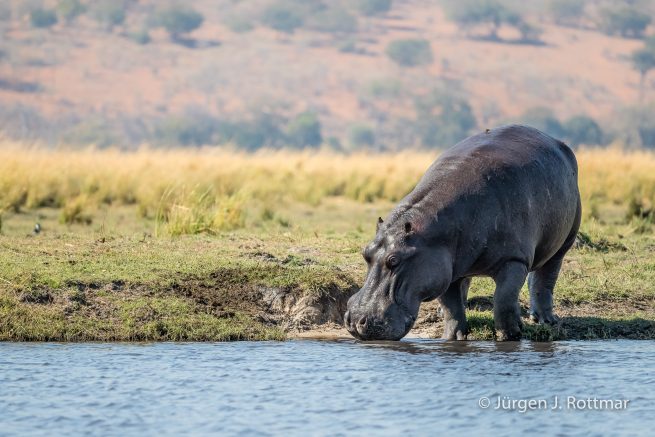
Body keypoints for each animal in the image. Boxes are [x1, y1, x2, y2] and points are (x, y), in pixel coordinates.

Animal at [344, 124, 581, 341]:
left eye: (394, 260)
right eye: (365, 253)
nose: (356, 320)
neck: (430, 234)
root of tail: (555, 141)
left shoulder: (514, 259)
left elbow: (503, 300)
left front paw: (511, 336)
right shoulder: (444, 269)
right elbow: (452, 307)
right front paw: (453, 338)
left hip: (564, 240)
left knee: (546, 276)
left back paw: (545, 319)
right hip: (461, 264)